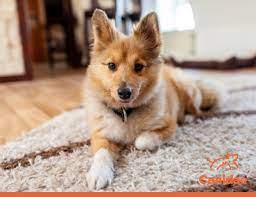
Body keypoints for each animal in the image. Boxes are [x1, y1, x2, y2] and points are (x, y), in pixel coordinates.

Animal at [83, 8, 224, 189]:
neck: (126, 112)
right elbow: (102, 154)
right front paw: (98, 173)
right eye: (111, 66)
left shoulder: (169, 126)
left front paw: (137, 141)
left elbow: (141, 141)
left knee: (197, 110)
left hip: (185, 87)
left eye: (138, 66)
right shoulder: (100, 135)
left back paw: (190, 117)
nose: (124, 92)